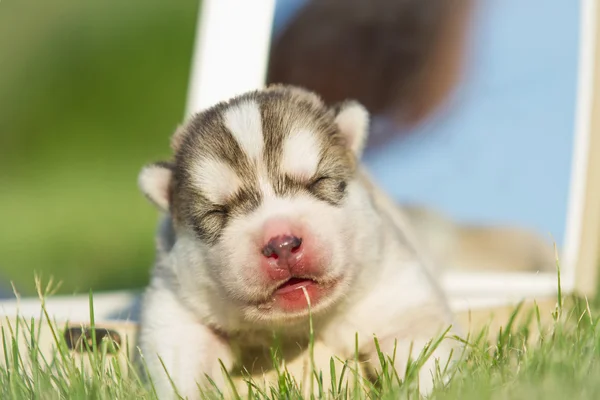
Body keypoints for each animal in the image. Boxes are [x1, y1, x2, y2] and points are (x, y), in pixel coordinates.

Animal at [136, 84, 460, 396]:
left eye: (318, 182)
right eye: (218, 211)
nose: (281, 245)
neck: (297, 325)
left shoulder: (397, 298)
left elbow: (421, 353)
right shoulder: (177, 309)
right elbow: (183, 365)